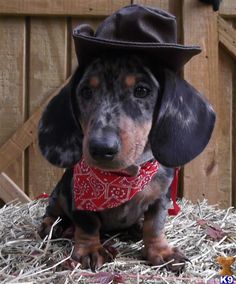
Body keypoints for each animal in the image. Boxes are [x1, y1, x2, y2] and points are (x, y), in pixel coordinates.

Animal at [38, 55, 216, 270]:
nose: (101, 147)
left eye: (142, 90)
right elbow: (88, 224)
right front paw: (90, 250)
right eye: (86, 91)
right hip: (59, 193)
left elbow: (154, 226)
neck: (126, 175)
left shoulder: (161, 198)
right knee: (53, 210)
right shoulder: (79, 198)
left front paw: (161, 252)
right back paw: (50, 225)